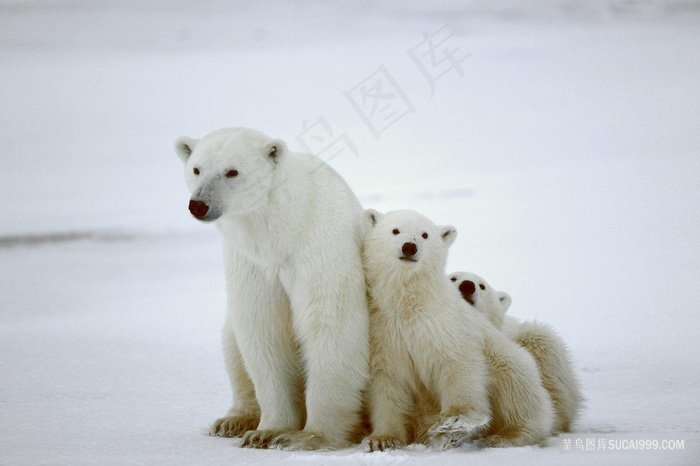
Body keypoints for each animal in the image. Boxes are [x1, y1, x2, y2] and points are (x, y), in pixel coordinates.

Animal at [175, 128, 370, 452]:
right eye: (196, 169)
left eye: (232, 171)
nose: (199, 205)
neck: (283, 230)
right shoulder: (252, 263)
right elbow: (263, 329)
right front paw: (267, 432)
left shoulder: (320, 248)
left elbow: (330, 325)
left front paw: (308, 436)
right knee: (232, 343)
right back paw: (233, 420)